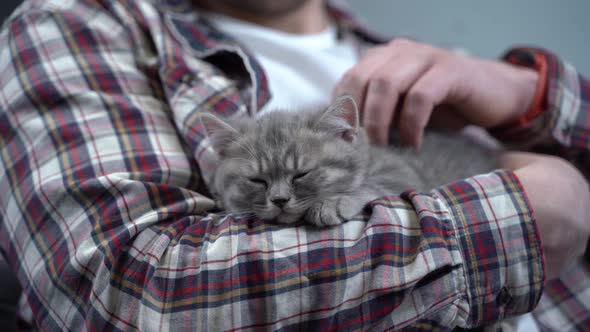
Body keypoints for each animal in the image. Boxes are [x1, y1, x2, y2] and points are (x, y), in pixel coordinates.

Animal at [201, 94, 498, 227]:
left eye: (301, 174)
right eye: (257, 180)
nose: (279, 200)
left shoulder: (404, 172)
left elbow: (373, 185)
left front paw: (332, 202)